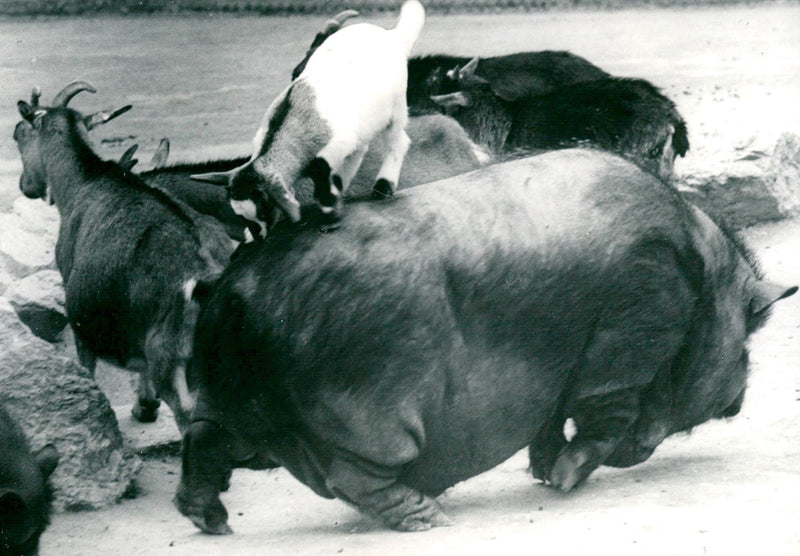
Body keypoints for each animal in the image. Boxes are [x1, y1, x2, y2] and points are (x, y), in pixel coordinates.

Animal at [13, 81, 234, 428]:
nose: (26, 186)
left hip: (174, 360)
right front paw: (144, 406)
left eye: (18, 133)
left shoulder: (79, 315)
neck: (82, 182)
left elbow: (87, 366)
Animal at [191, 0, 426, 238]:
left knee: (398, 141)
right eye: (239, 215)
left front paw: (330, 218)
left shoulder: (333, 152)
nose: (258, 236)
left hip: (396, 110)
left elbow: (326, 181)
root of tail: (393, 35)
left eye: (264, 207)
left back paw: (384, 186)